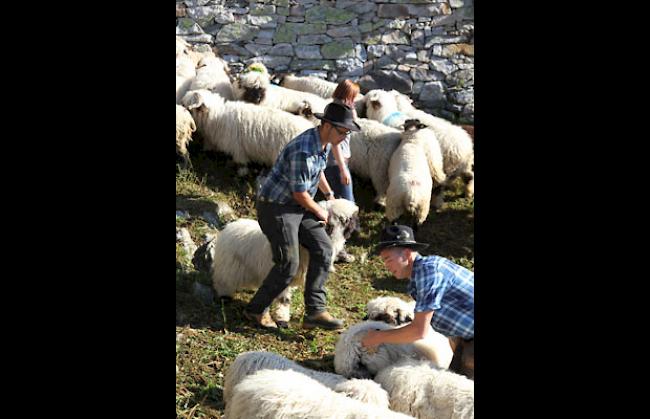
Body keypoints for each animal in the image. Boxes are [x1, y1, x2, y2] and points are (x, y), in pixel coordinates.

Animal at [210, 199, 356, 326]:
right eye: (343, 219)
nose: (353, 228)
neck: (304, 246)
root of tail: (228, 227)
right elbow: (283, 299)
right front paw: (282, 319)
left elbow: (284, 299)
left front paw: (283, 318)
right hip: (231, 266)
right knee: (223, 280)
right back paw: (224, 296)